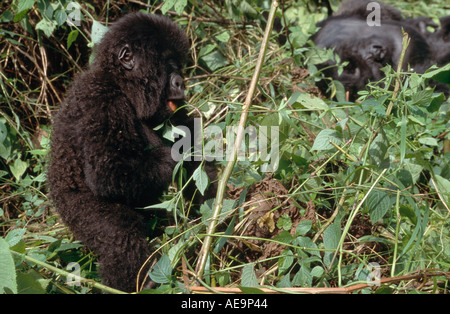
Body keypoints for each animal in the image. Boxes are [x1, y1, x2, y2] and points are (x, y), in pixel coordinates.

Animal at [46, 12, 215, 292]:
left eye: (178, 65)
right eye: (168, 64)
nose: (181, 82)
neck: (119, 84)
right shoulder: (101, 102)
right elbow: (108, 173)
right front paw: (174, 154)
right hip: (74, 211)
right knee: (120, 234)